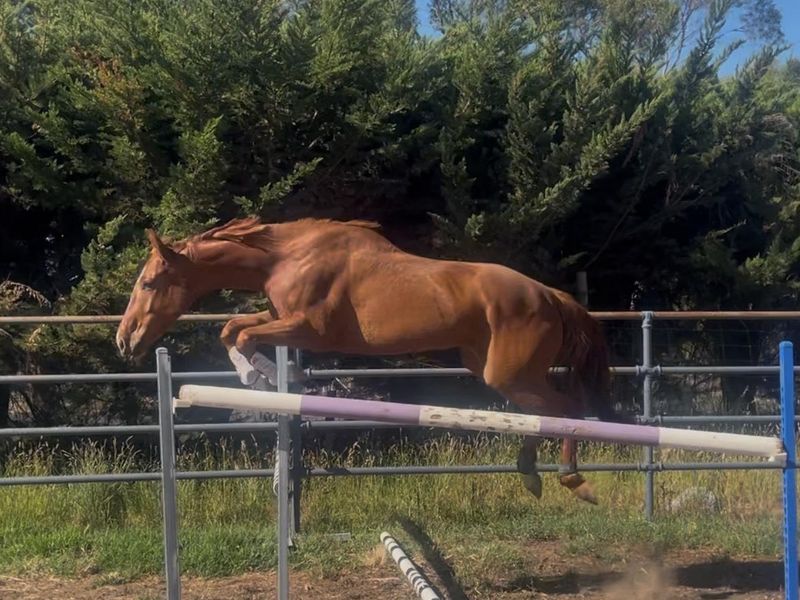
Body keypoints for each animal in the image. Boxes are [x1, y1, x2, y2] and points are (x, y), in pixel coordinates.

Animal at [116, 216, 626, 504]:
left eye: (148, 283)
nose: (125, 340)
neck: (285, 257)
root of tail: (550, 295)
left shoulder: (309, 328)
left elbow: (240, 333)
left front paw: (258, 377)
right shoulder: (282, 318)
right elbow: (233, 328)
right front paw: (272, 376)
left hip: (511, 373)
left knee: (564, 410)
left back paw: (572, 480)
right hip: (496, 370)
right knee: (539, 414)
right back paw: (530, 475)